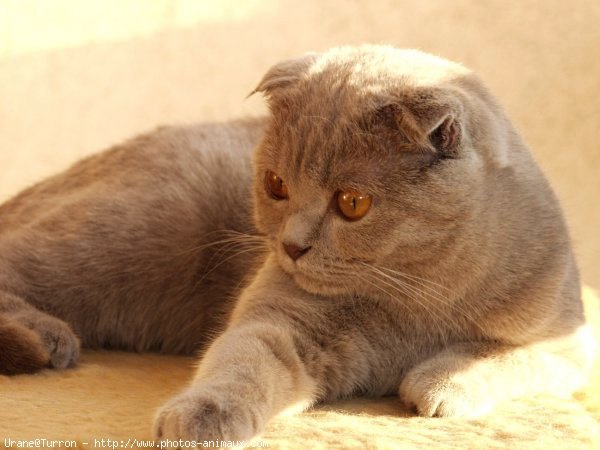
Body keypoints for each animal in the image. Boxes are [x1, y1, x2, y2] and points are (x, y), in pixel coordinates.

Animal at [0, 46, 592, 442]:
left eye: (352, 202)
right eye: (276, 185)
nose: (291, 246)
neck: (414, 299)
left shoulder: (572, 341)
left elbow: (514, 357)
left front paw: (438, 385)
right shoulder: (281, 319)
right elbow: (244, 361)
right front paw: (201, 418)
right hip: (131, 233)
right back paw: (46, 337)